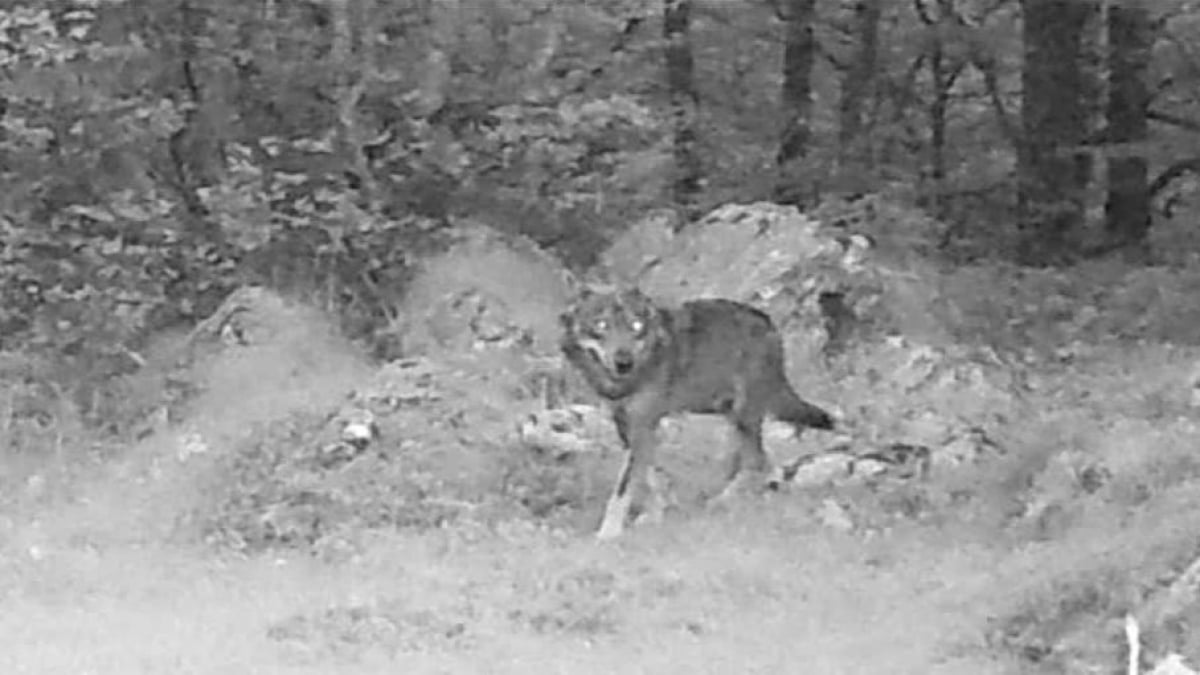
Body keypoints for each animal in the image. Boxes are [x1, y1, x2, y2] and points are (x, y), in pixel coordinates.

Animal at [559, 283, 835, 535]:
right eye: (601, 325)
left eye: (636, 326)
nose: (623, 362)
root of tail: (769, 323)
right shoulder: (627, 426)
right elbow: (651, 475)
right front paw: (657, 514)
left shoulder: (642, 425)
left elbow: (624, 488)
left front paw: (608, 534)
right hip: (728, 414)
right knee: (761, 462)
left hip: (743, 414)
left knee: (756, 461)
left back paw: (722, 501)